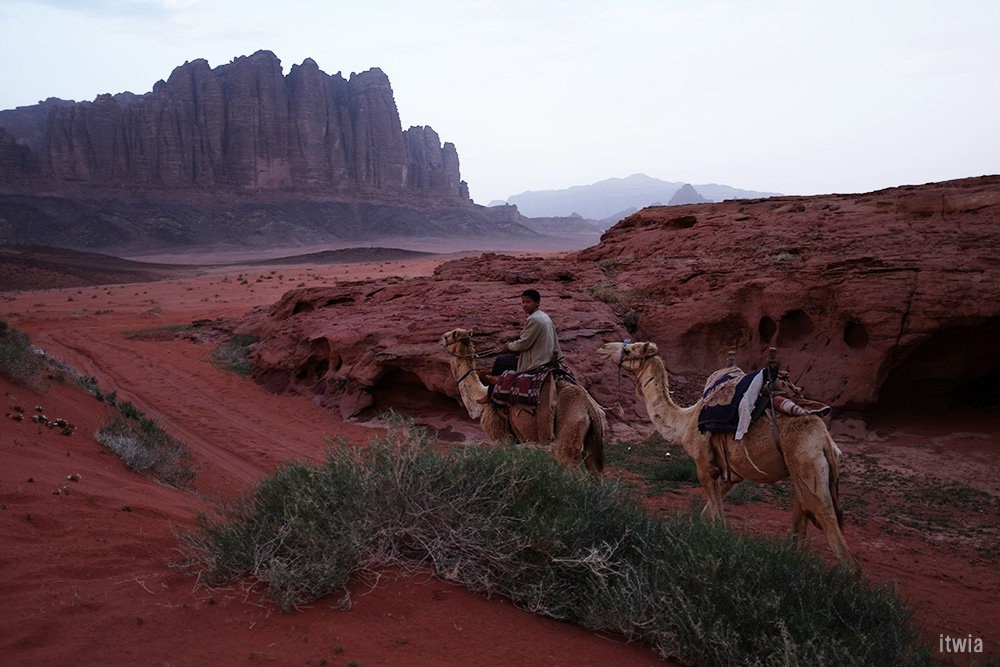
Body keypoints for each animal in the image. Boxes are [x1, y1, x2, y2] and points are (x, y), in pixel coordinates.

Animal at [440, 328, 606, 475]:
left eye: (449, 336)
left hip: (569, 431)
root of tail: (591, 409)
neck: (480, 398)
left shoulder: (501, 436)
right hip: (592, 442)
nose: (441, 339)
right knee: (595, 472)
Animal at [597, 340, 859, 573]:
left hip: (807, 461)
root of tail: (825, 440)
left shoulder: (704, 467)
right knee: (801, 523)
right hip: (802, 471)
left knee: (836, 537)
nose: (602, 348)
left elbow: (719, 520)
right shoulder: (731, 475)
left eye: (629, 350)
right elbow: (707, 515)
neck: (684, 423)